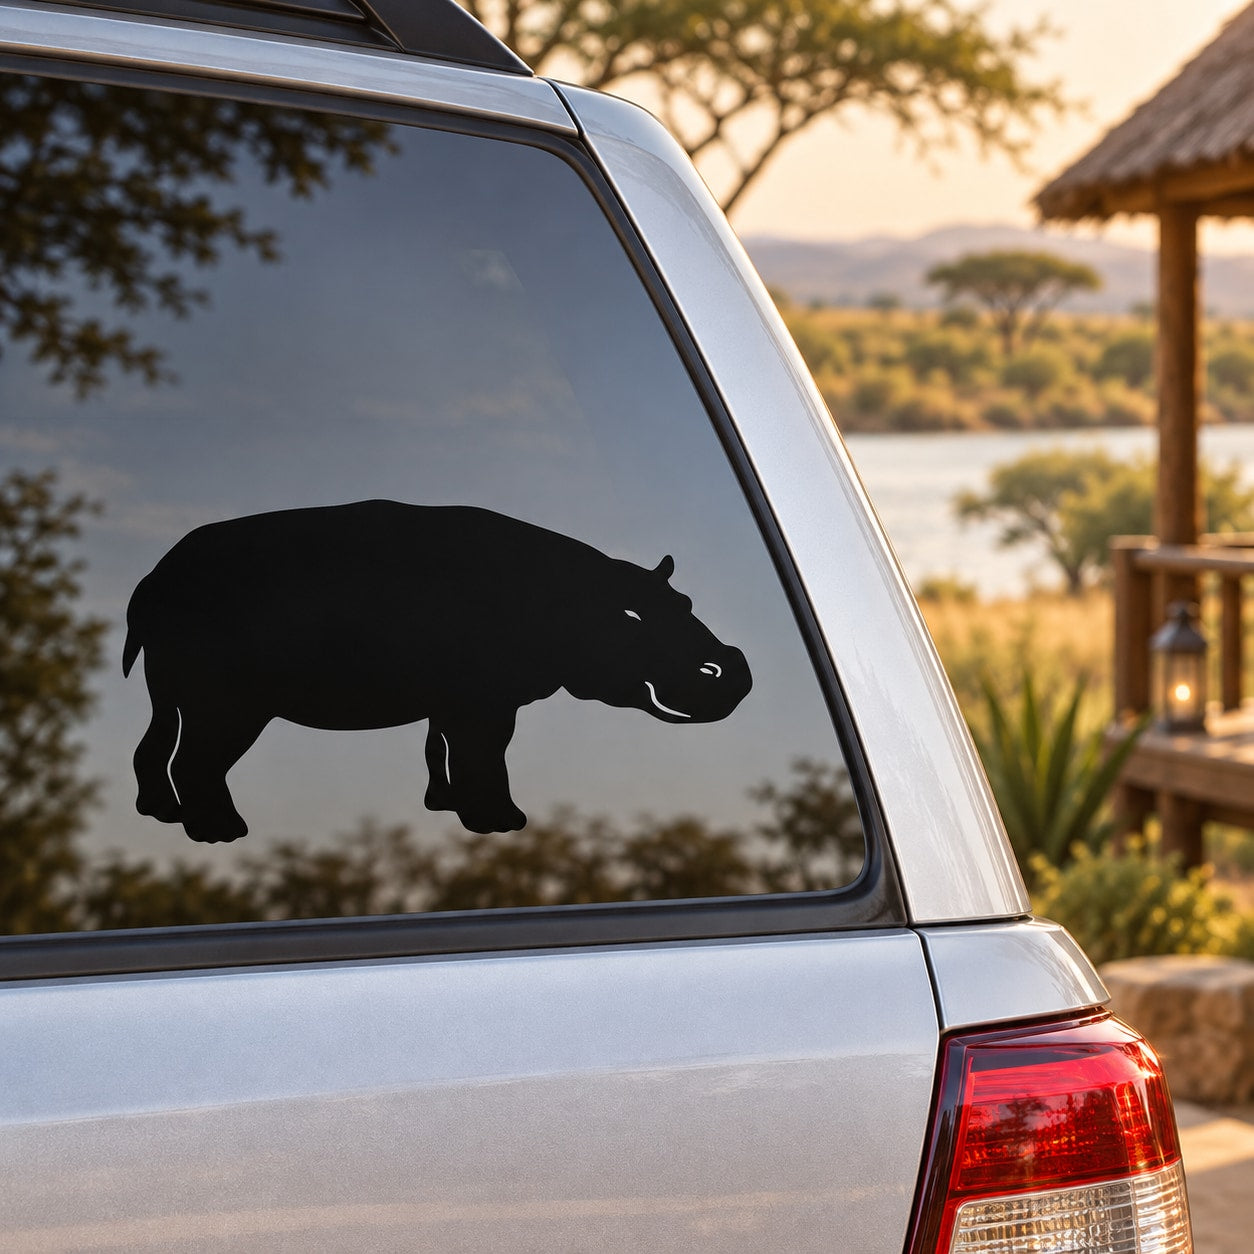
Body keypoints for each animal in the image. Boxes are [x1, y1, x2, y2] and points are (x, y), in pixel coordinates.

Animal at [122, 501, 752, 842]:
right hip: (229, 704)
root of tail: (155, 574)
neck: (566, 595)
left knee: (154, 744)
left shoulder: (457, 701)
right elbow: (486, 754)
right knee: (198, 759)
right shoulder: (486, 702)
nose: (729, 667)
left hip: (169, 689)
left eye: (686, 602)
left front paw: (447, 806)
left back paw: (162, 814)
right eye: (630, 615)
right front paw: (503, 824)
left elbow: (443, 747)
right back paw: (222, 833)